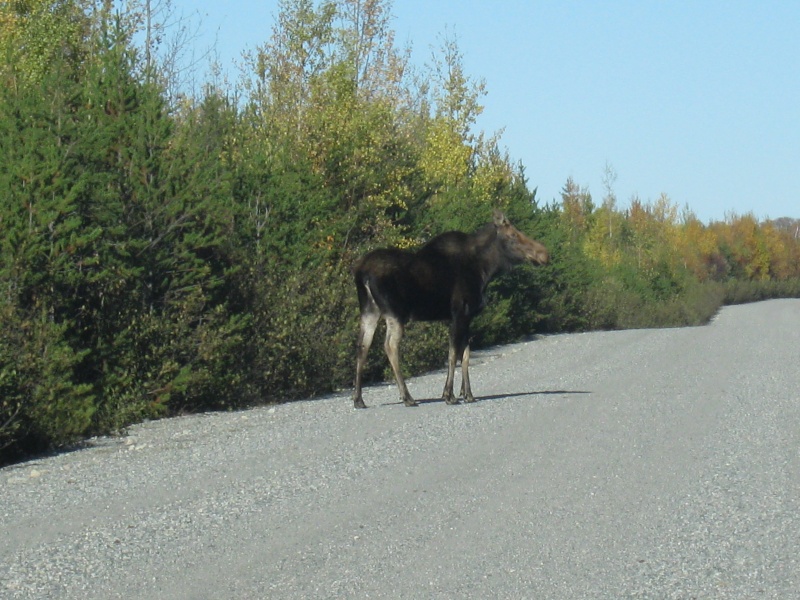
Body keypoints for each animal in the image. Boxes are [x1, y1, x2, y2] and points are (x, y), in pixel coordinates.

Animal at [352, 209, 548, 410]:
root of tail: (362, 273)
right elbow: (453, 354)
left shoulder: (468, 317)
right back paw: (407, 397)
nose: (543, 254)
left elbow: (466, 355)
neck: (485, 270)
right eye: (513, 235)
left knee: (362, 345)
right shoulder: (459, 313)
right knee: (390, 346)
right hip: (394, 313)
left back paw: (359, 399)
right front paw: (449, 395)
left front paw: (468, 394)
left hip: (369, 310)